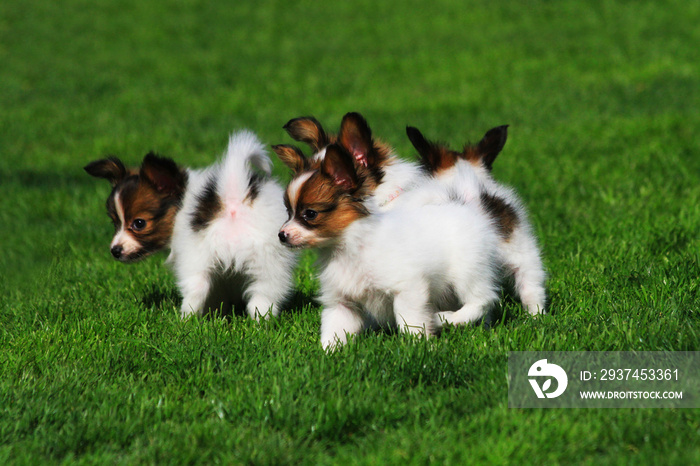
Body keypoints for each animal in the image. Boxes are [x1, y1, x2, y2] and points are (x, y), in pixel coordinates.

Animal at [85, 131, 298, 320]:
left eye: (138, 223)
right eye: (114, 222)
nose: (115, 250)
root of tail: (234, 195)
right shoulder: (224, 274)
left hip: (197, 257)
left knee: (196, 290)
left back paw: (185, 321)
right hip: (270, 262)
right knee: (264, 296)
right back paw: (259, 324)